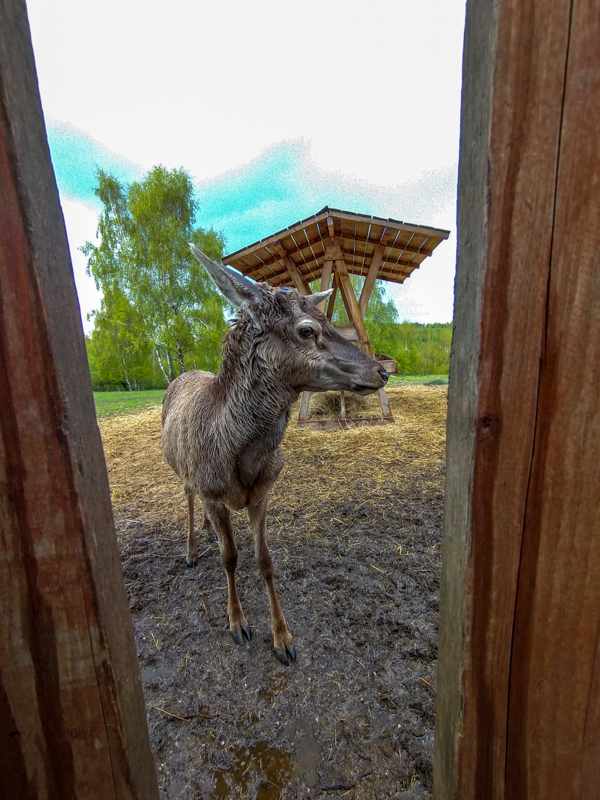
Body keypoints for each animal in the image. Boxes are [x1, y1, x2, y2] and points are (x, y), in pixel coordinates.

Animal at [161, 245, 389, 665]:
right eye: (307, 329)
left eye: (328, 318)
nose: (381, 372)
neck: (238, 460)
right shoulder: (211, 489)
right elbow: (230, 557)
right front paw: (237, 623)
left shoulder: (263, 492)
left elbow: (265, 559)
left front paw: (283, 638)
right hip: (182, 467)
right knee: (187, 494)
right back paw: (192, 548)